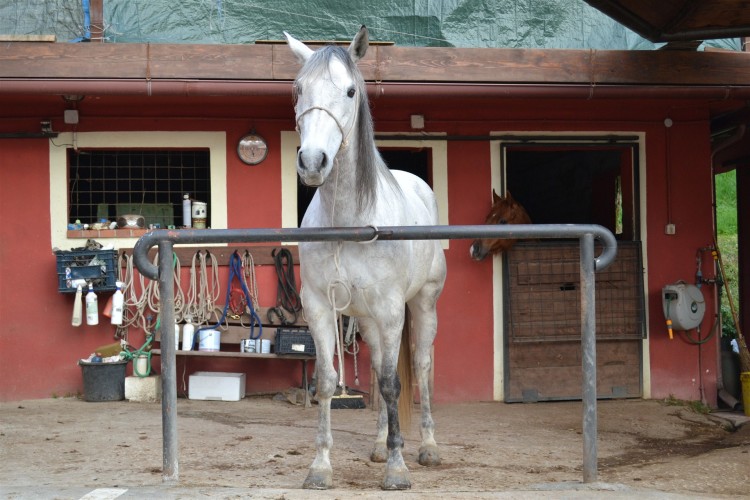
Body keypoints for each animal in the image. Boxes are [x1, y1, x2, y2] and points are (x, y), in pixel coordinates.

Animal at [284, 25, 444, 490]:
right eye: (298, 88)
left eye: (351, 91)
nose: (312, 161)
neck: (350, 222)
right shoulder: (319, 307)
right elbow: (327, 381)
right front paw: (320, 466)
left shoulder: (392, 309)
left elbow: (393, 385)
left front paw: (397, 468)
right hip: (369, 321)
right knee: (374, 368)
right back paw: (376, 445)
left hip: (421, 305)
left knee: (421, 368)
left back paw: (428, 447)